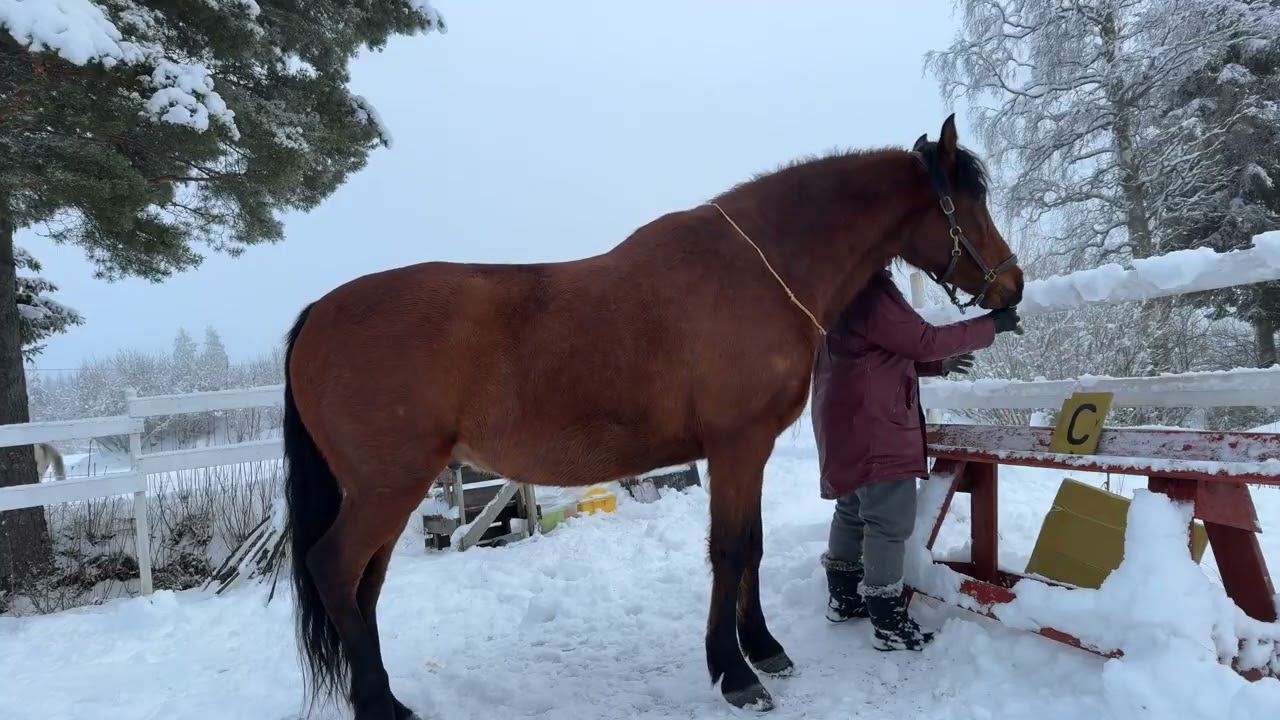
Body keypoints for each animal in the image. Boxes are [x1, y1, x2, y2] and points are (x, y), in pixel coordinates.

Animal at [281, 114, 1023, 720]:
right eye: (968, 202)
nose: (1013, 287)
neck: (758, 270)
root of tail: (317, 313)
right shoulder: (735, 445)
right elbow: (729, 549)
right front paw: (736, 673)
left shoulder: (747, 451)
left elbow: (750, 546)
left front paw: (762, 646)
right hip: (388, 487)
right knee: (335, 570)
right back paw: (377, 706)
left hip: (385, 492)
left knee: (365, 586)